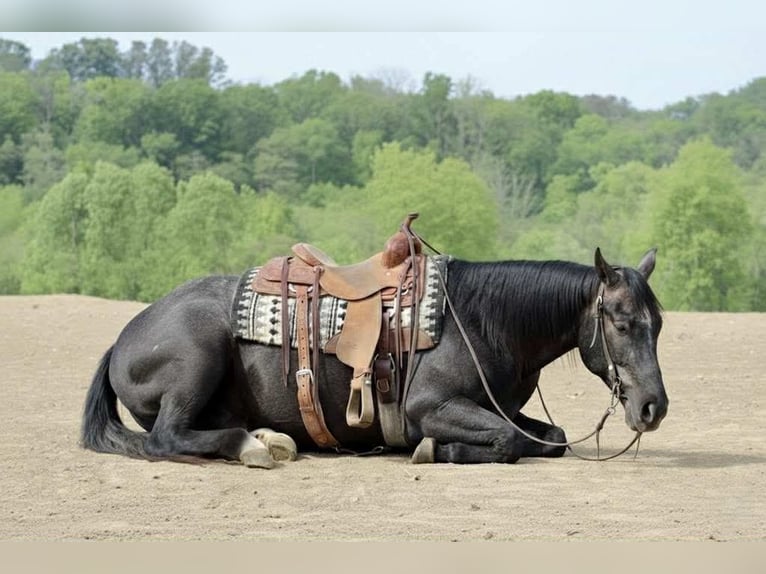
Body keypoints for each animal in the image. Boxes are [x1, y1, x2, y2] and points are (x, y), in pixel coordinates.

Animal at [81, 247, 668, 467]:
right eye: (621, 323)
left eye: (658, 324)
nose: (652, 408)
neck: (483, 321)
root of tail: (123, 338)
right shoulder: (428, 406)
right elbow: (508, 440)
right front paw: (438, 449)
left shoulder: (499, 405)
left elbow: (550, 436)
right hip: (196, 357)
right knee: (166, 439)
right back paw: (253, 447)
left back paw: (270, 438)